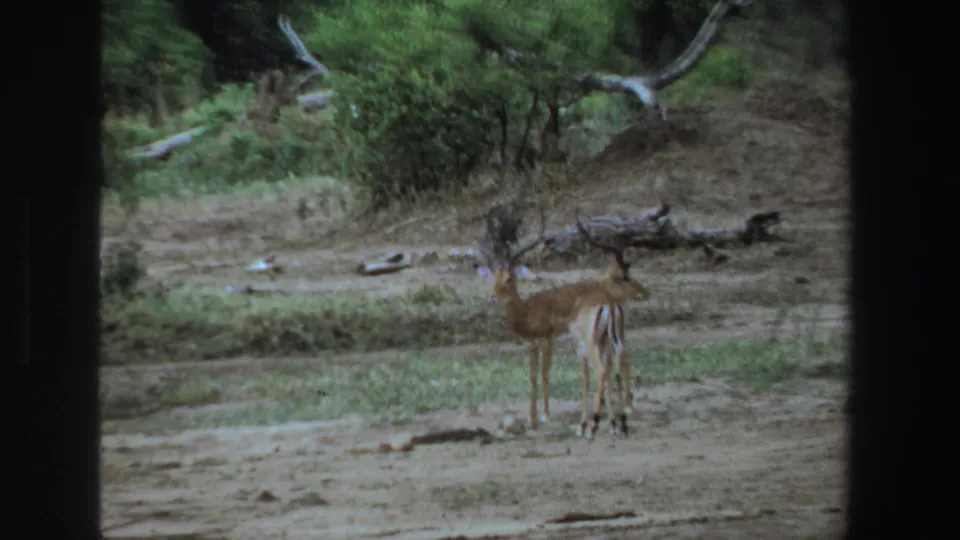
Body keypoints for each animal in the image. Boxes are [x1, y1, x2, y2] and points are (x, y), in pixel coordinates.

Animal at [481, 209, 629, 440]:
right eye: (493, 278)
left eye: (509, 278)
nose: (493, 297)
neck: (527, 310)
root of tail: (609, 302)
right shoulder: (531, 344)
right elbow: (532, 376)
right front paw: (533, 419)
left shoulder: (547, 339)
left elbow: (545, 373)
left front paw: (546, 415)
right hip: (612, 340)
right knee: (618, 364)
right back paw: (619, 422)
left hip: (593, 343)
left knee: (602, 370)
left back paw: (595, 425)